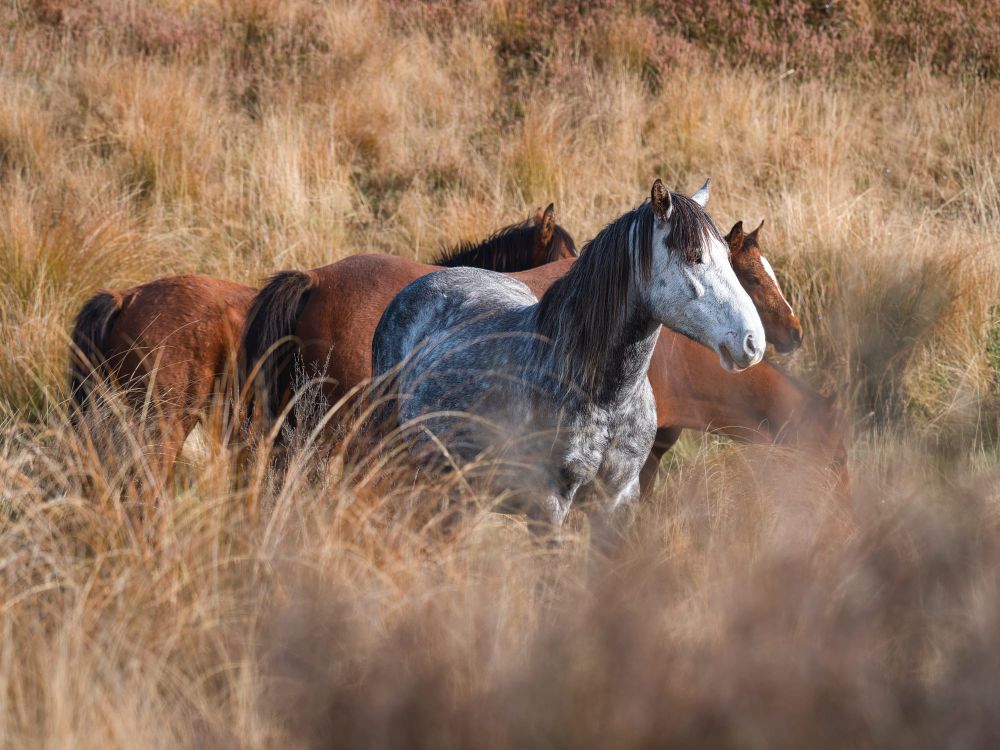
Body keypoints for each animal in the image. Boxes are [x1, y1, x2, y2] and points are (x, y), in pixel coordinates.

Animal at [368, 179, 764, 531]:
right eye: (694, 257)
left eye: (727, 258)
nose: (753, 343)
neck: (607, 398)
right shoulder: (549, 504)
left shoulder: (619, 501)